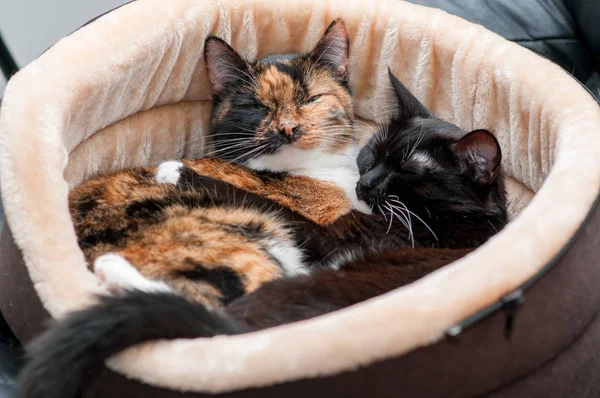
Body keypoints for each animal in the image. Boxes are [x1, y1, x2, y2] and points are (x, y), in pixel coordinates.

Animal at [17, 68, 506, 398]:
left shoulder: (333, 234)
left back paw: (112, 270)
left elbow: (277, 207)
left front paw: (178, 172)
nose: (365, 182)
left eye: (405, 171)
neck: (458, 222)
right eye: (374, 154)